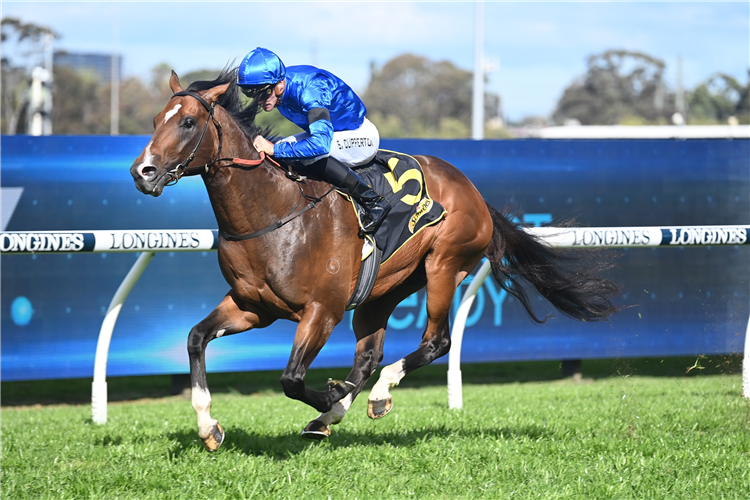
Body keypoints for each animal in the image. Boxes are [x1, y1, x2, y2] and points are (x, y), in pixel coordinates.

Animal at [129, 68, 620, 452]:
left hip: (444, 265)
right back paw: (331, 415)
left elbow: (291, 378)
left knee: (436, 342)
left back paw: (374, 395)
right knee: (368, 355)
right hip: (383, 289)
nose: (142, 171)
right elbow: (195, 338)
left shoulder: (321, 310)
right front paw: (209, 427)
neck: (274, 212)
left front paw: (329, 397)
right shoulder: (253, 306)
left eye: (188, 122)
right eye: (155, 120)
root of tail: (476, 194)